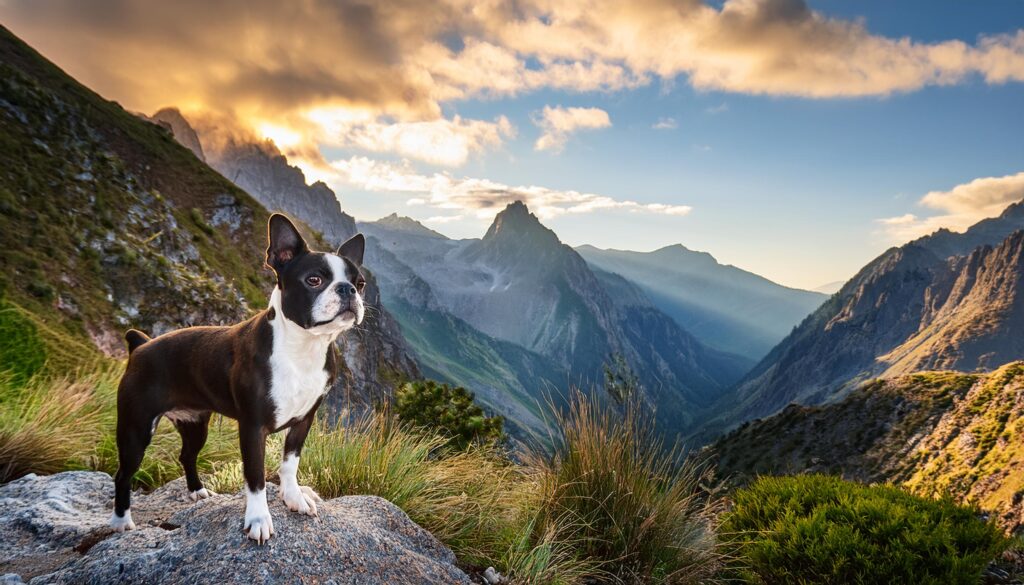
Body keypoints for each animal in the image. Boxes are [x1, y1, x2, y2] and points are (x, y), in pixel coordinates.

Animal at [110, 214, 366, 545]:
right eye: (314, 280)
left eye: (360, 284)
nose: (348, 290)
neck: (302, 348)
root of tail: (140, 345)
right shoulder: (252, 427)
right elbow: (255, 477)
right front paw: (258, 519)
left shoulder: (304, 420)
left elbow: (290, 463)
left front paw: (294, 497)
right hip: (136, 427)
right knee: (123, 474)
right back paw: (121, 521)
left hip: (195, 423)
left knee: (186, 454)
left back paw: (197, 491)